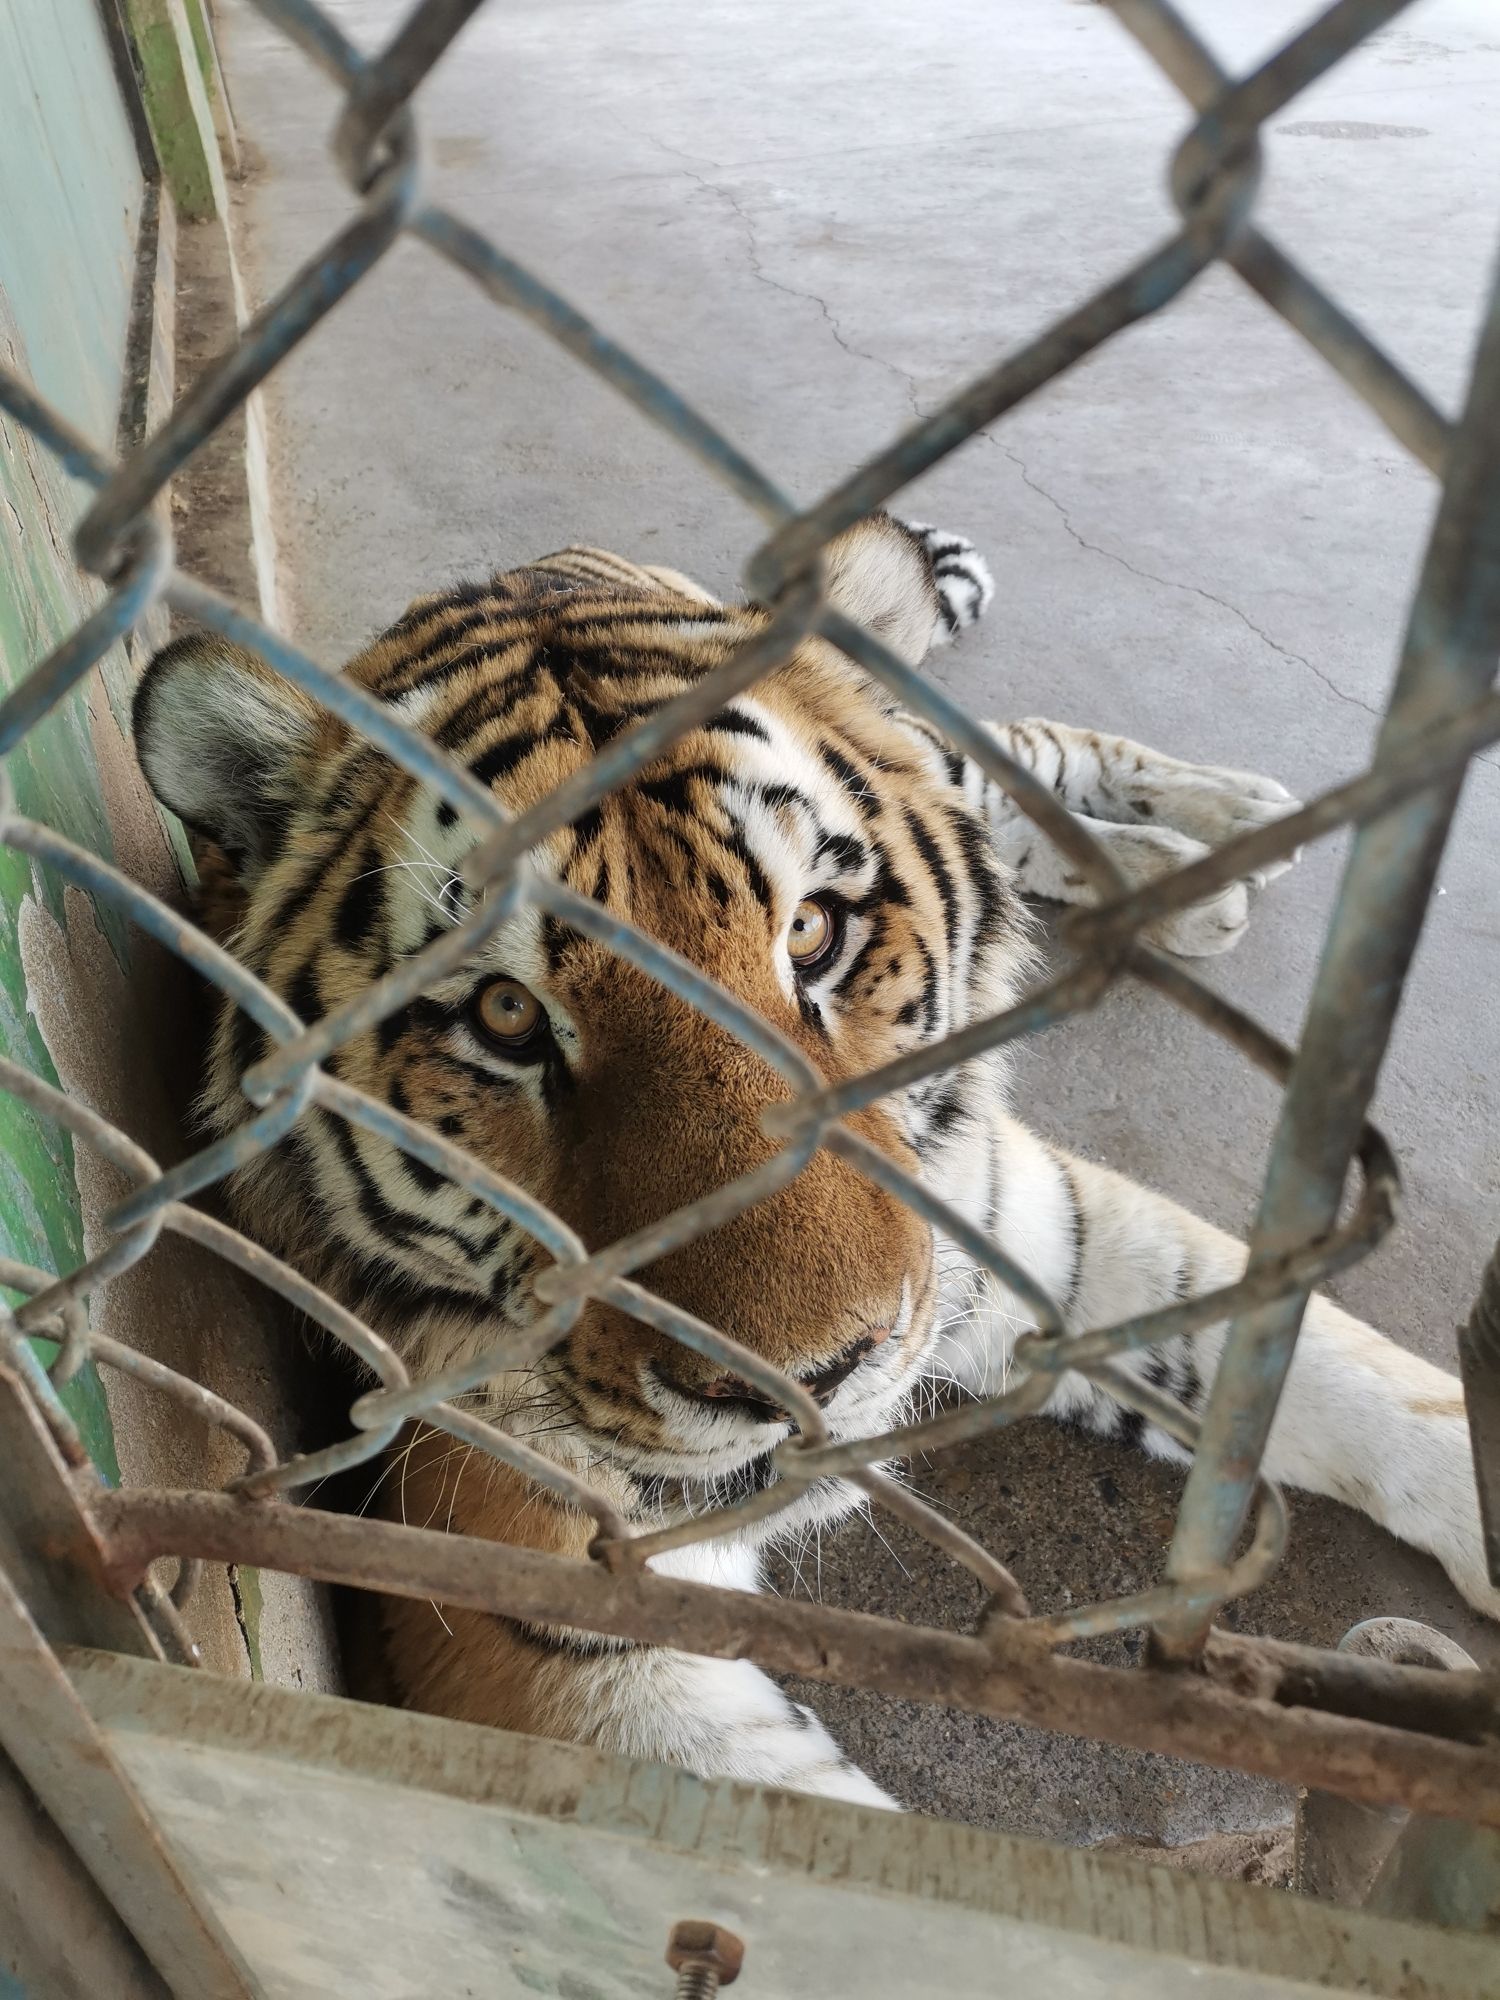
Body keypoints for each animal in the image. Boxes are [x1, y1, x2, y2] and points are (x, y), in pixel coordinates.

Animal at [133, 513, 1496, 1811]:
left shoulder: (1029, 1227)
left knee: (1011, 751)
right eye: (506, 1016)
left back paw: (1232, 830)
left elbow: (1337, 1363)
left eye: (813, 933)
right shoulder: (537, 1618)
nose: (814, 1382)